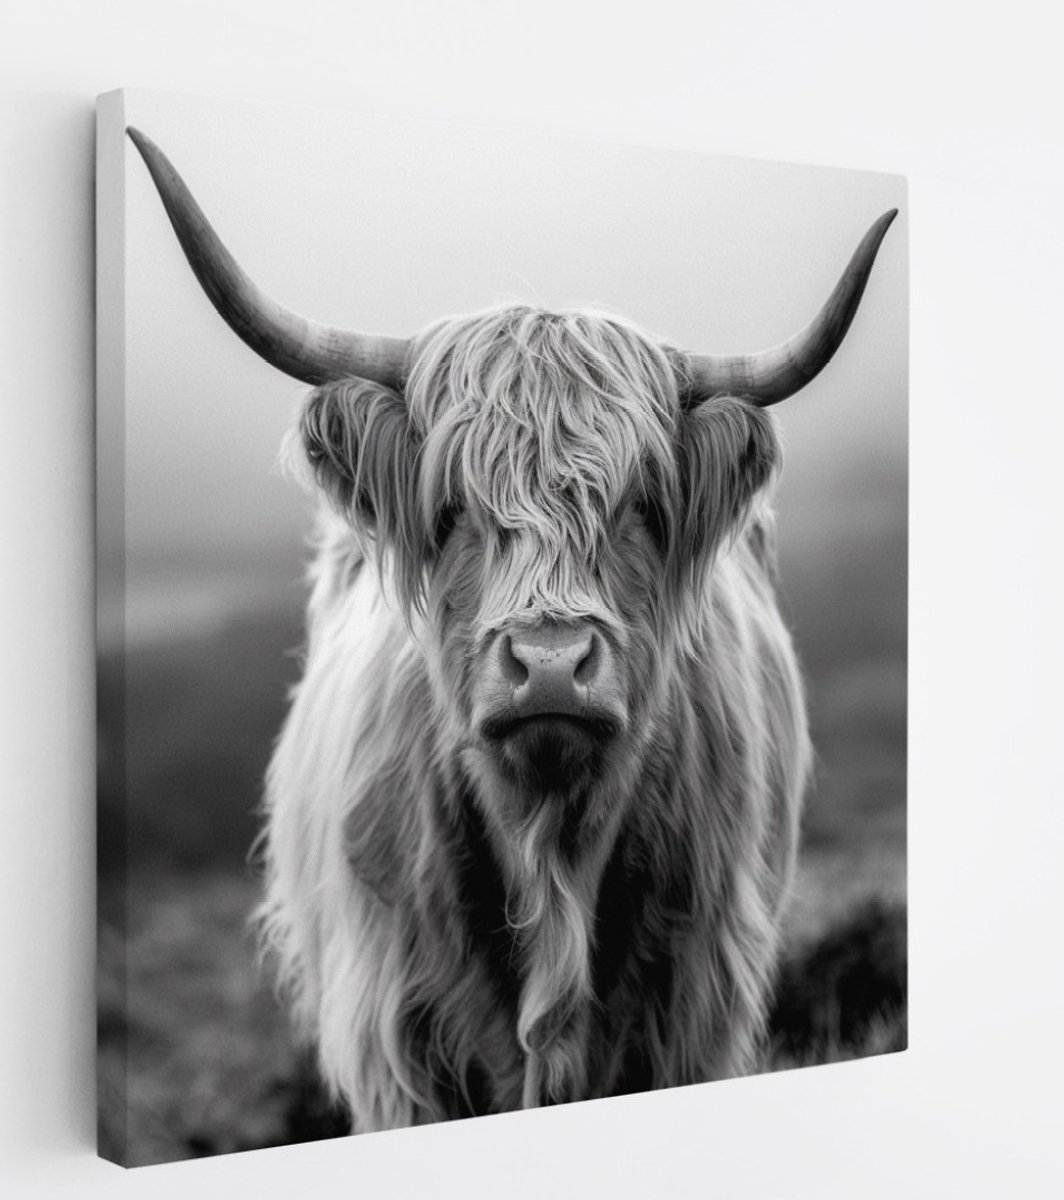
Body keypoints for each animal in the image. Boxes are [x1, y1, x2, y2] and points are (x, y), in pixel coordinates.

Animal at [128, 127, 896, 1131]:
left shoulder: (693, 1007)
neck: (549, 856)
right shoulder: (400, 1040)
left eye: (641, 505)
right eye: (451, 510)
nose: (552, 666)